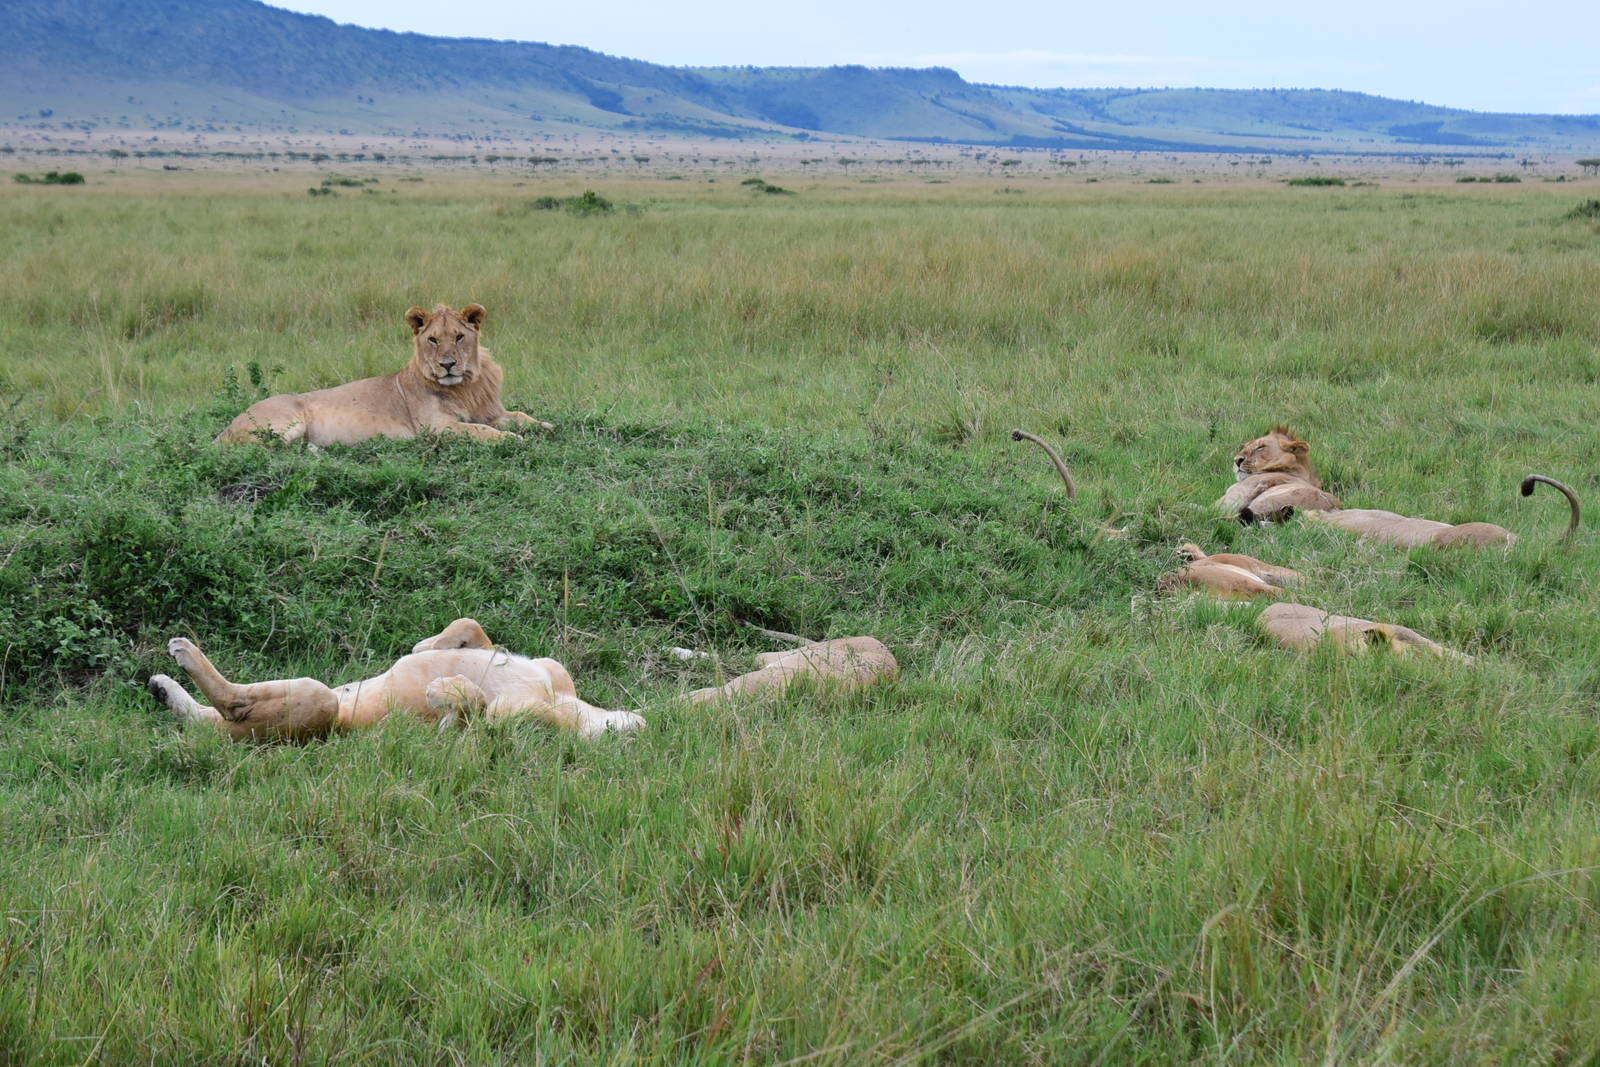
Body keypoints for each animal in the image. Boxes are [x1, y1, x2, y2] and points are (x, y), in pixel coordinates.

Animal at [217, 304, 552, 445]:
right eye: (433, 340)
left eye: (458, 337)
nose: (447, 365)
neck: (465, 385)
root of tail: (227, 426)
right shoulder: (436, 427)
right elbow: (481, 431)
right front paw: (512, 439)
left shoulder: (490, 411)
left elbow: (520, 416)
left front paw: (545, 426)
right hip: (286, 424)